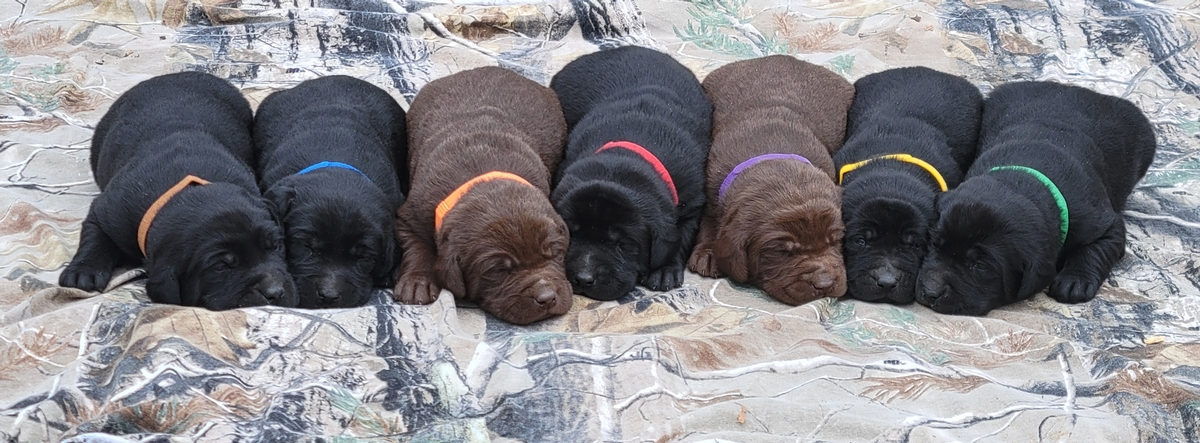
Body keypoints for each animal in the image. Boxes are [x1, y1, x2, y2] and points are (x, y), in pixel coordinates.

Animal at [58, 71, 297, 310]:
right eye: (221, 266)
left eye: (275, 246)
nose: (275, 292)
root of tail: (176, 74)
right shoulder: (109, 210)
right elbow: (95, 235)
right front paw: (82, 271)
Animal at [393, 66, 572, 325]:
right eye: (498, 270)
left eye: (556, 253)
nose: (546, 297)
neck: (482, 176)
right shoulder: (410, 215)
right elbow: (417, 246)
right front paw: (416, 283)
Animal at [550, 45, 712, 301]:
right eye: (571, 234)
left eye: (623, 245)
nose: (584, 278)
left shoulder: (693, 202)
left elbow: (681, 237)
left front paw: (664, 271)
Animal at [686, 55, 852, 305]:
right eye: (782, 251)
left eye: (836, 240)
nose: (824, 284)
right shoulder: (711, 188)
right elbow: (709, 222)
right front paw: (708, 253)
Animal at [917, 81, 1156, 316]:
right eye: (934, 244)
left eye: (980, 266)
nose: (930, 291)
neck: (1024, 178)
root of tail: (1069, 87)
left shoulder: (1103, 223)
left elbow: (1097, 248)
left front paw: (1075, 281)